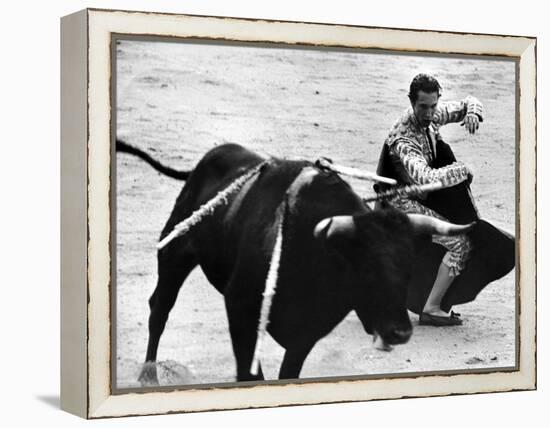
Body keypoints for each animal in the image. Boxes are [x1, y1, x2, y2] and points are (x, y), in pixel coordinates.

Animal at [117, 142, 516, 382]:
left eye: (409, 271)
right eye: (365, 269)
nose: (400, 332)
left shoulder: (309, 331)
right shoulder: (241, 309)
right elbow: (251, 372)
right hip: (175, 252)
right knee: (159, 307)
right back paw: (149, 373)